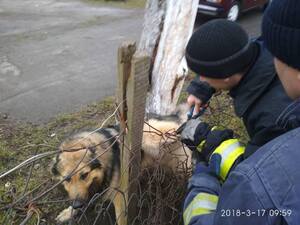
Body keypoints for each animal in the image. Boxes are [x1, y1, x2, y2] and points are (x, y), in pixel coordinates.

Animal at [51, 116, 191, 223]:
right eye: (67, 179)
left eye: (84, 175)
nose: (77, 205)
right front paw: (69, 212)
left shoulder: (119, 197)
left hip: (152, 138)